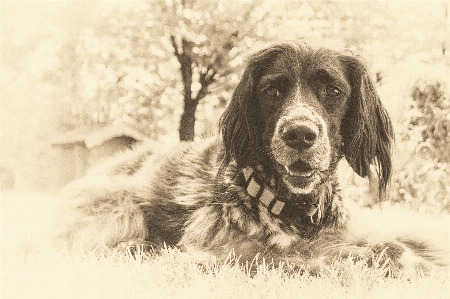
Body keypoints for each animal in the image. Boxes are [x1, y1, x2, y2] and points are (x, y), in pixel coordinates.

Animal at [54, 42, 448, 276]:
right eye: (272, 91)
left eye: (333, 91)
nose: (299, 134)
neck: (297, 211)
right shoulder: (227, 249)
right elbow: (329, 254)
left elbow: (403, 239)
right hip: (122, 205)